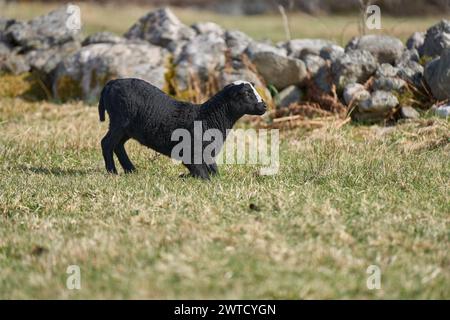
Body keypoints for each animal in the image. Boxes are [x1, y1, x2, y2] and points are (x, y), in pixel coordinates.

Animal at [98, 77, 266, 179]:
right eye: (246, 93)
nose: (264, 106)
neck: (207, 117)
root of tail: (112, 83)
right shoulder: (191, 153)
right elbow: (204, 176)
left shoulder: (206, 154)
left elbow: (213, 172)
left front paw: (184, 177)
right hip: (119, 120)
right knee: (107, 143)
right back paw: (112, 172)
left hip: (127, 127)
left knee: (118, 145)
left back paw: (131, 170)